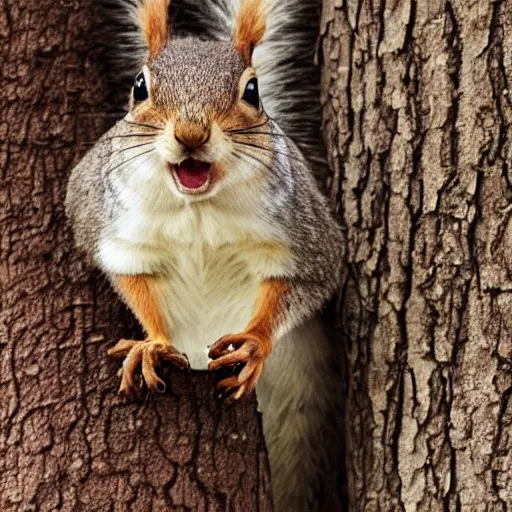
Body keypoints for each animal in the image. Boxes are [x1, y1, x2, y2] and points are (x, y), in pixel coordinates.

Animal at [65, 0, 344, 508]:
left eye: (252, 90)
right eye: (139, 87)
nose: (191, 134)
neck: (198, 207)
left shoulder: (308, 238)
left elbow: (305, 282)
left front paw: (254, 342)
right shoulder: (111, 228)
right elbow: (132, 282)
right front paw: (153, 344)